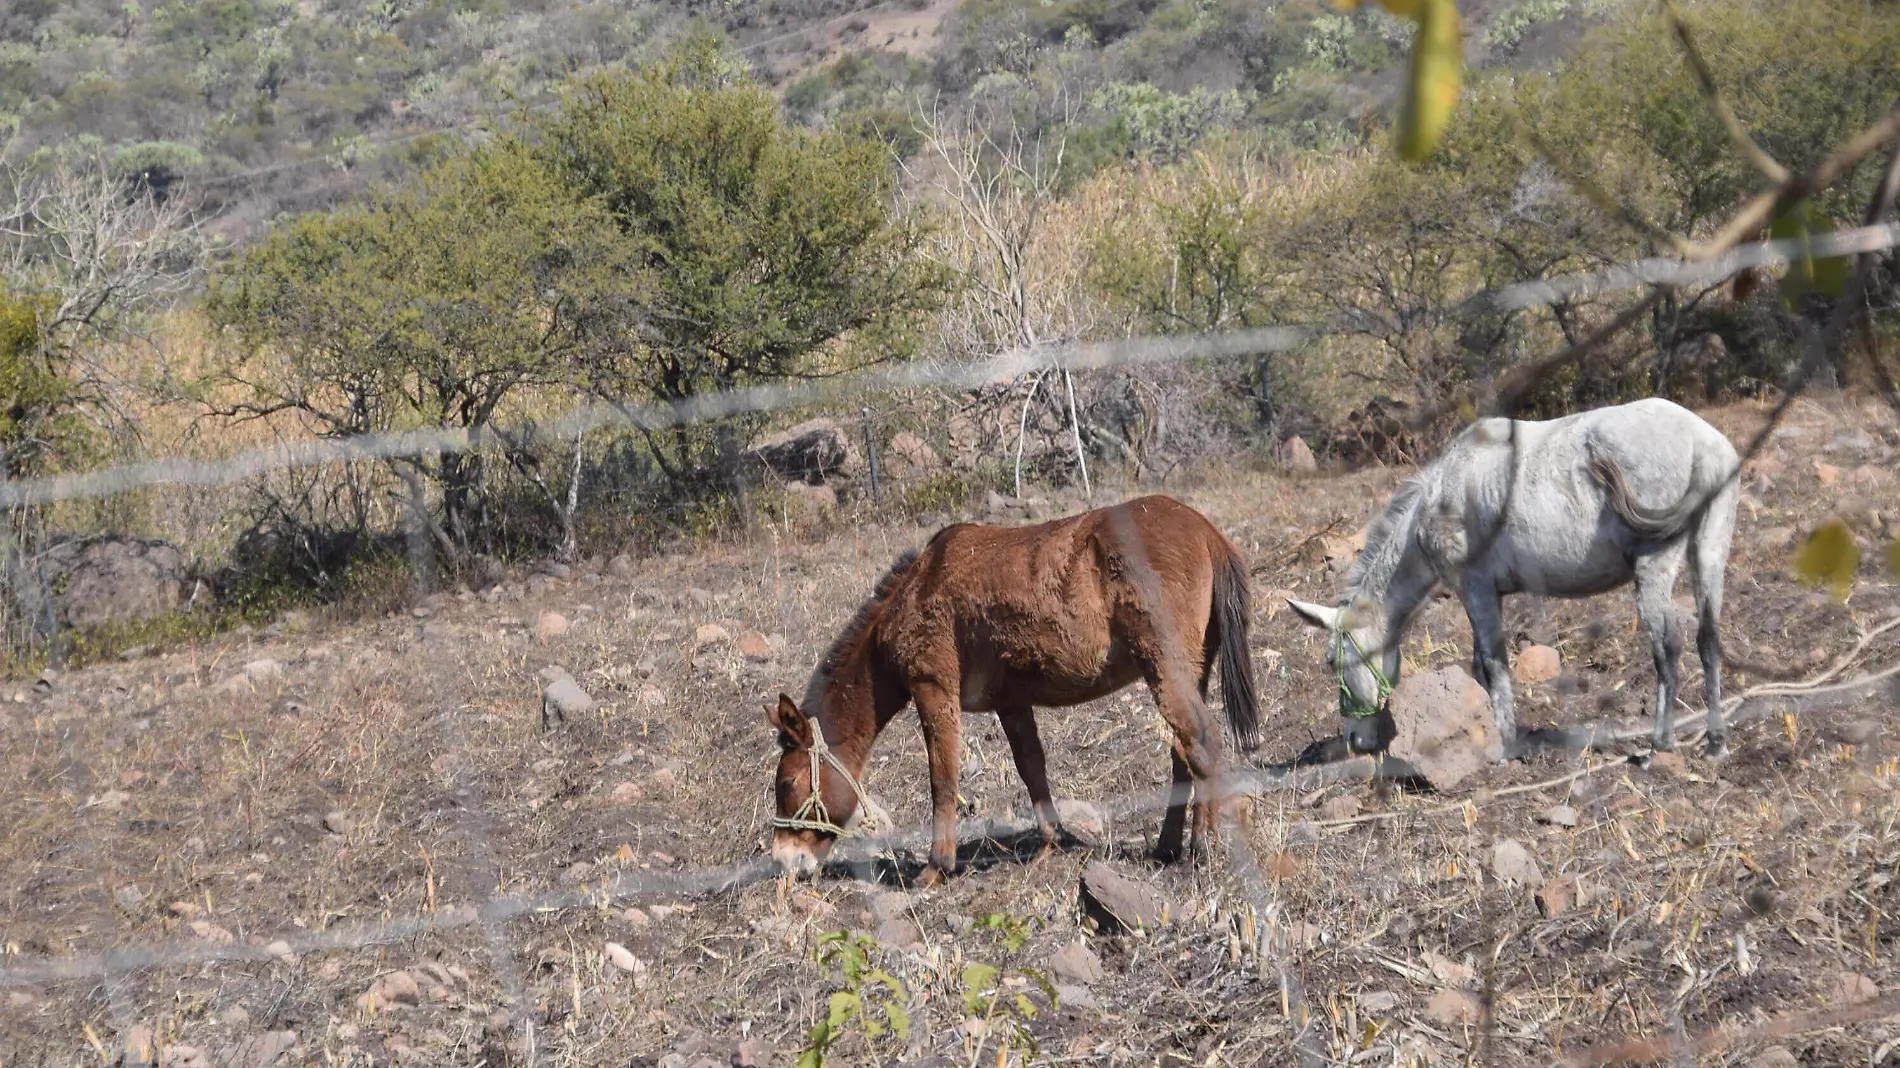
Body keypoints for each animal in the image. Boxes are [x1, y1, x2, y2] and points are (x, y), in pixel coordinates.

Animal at [763, 494, 1254, 877]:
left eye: (786, 784)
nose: (785, 861)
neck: (918, 588)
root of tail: (1207, 530)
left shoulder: (933, 688)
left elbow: (943, 778)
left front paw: (937, 868)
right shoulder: (1011, 701)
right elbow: (1031, 767)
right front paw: (1052, 843)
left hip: (1166, 667)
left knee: (1202, 742)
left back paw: (1202, 847)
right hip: (1191, 671)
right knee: (1183, 752)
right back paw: (1168, 847)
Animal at [1284, 395, 1740, 752]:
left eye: (1331, 660)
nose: (1354, 739)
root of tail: (1703, 443)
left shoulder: (1477, 590)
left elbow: (1492, 663)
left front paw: (1503, 741)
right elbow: (1478, 667)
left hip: (1654, 566)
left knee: (1667, 646)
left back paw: (1661, 742)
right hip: (1710, 551)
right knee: (1708, 639)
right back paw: (1716, 740)